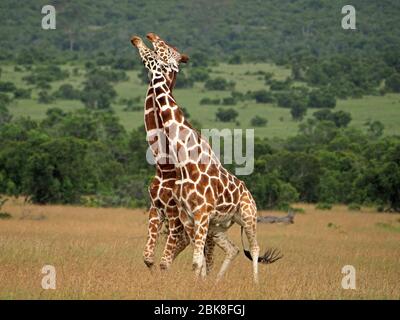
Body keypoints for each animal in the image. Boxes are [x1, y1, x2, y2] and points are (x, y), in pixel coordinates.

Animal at [131, 35, 282, 282]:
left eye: (162, 51)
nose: (143, 38)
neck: (169, 164)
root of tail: (249, 192)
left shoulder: (184, 216)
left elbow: (178, 261)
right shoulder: (170, 213)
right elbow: (154, 259)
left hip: (247, 217)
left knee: (254, 249)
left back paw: (255, 283)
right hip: (218, 227)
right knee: (232, 249)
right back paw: (216, 282)